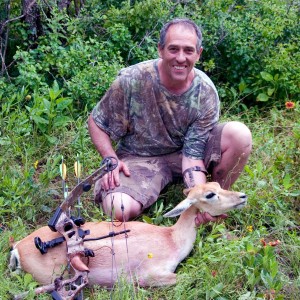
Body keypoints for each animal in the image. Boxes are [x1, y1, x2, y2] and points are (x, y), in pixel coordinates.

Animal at [9, 182, 248, 290]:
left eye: (217, 184)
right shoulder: (152, 276)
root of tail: (18, 248)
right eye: (210, 194)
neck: (171, 238)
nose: (242, 196)